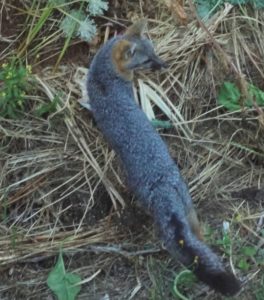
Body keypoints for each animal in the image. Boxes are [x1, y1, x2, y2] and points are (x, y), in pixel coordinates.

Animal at [86, 19, 241, 296]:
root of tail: (161, 186)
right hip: (186, 204)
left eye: (154, 53)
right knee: (195, 236)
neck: (103, 77)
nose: (164, 64)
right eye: (148, 60)